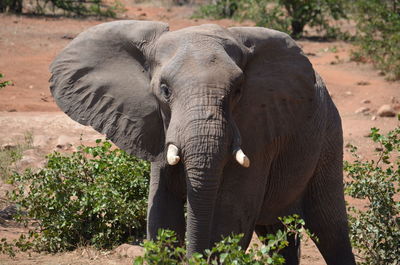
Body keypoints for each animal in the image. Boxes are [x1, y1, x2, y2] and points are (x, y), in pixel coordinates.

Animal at [48, 19, 354, 262]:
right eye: (164, 90)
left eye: (238, 90)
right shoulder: (160, 129)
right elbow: (161, 213)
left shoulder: (258, 129)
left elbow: (230, 215)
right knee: (276, 232)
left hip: (329, 136)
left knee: (329, 227)